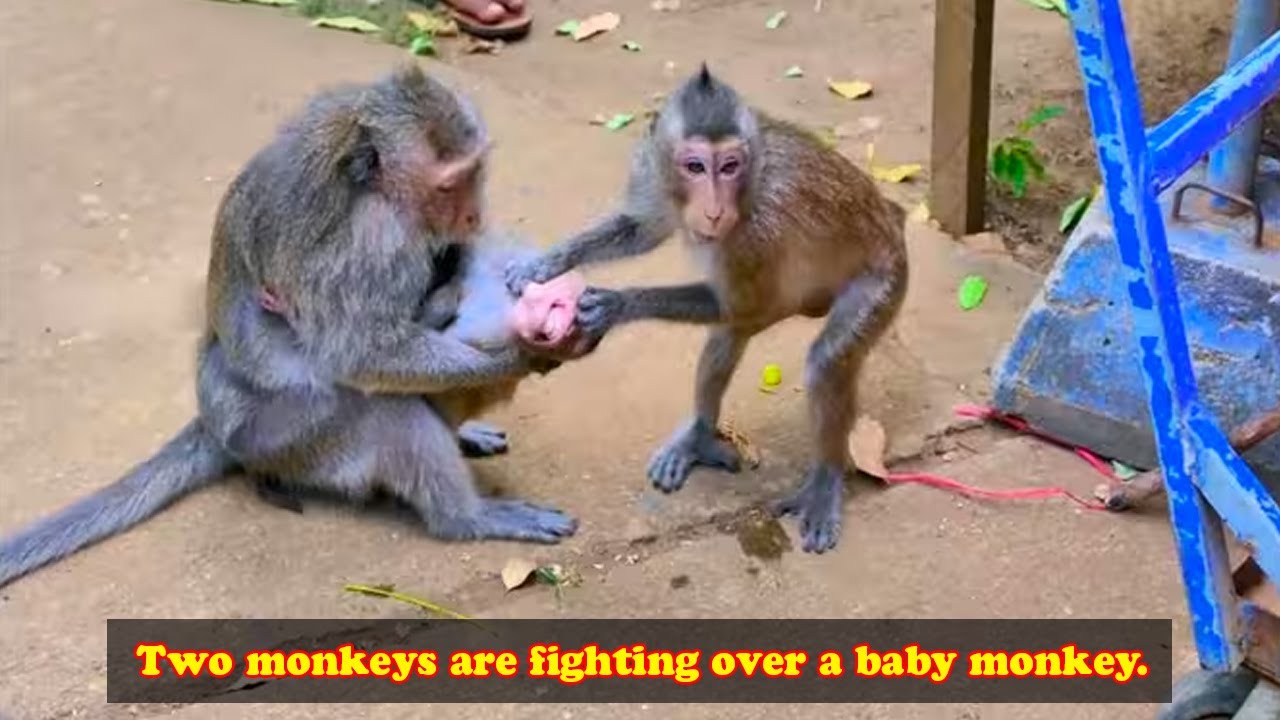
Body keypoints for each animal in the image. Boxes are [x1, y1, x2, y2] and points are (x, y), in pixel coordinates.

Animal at [0, 65, 591, 588]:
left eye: (474, 173)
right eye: (450, 186)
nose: (472, 217)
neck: (373, 180)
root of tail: (214, 420)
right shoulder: (372, 240)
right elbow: (362, 353)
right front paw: (523, 354)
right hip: (288, 435)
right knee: (386, 410)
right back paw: (466, 518)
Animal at [505, 65, 909, 554]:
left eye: (730, 166)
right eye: (695, 166)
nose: (715, 211)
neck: (753, 176)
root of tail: (891, 222)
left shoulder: (760, 229)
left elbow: (732, 300)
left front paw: (617, 304)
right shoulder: (651, 170)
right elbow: (641, 228)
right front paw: (549, 261)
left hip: (883, 282)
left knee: (825, 358)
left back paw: (826, 478)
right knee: (727, 336)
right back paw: (699, 436)